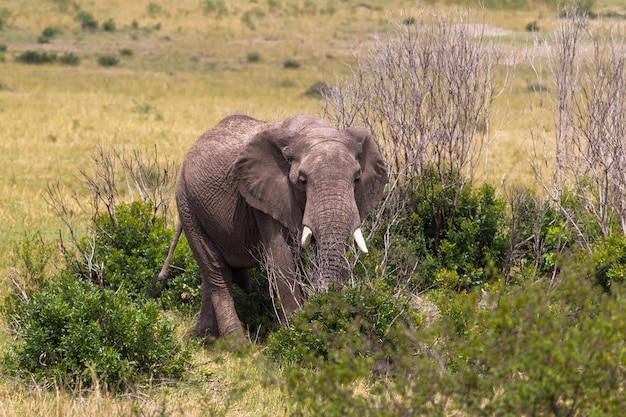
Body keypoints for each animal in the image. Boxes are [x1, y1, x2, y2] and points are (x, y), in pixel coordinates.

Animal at [153, 113, 386, 342]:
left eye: (357, 178)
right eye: (302, 180)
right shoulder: (266, 197)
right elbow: (282, 257)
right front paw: (293, 334)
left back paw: (207, 342)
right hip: (187, 204)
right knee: (216, 271)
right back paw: (237, 345)